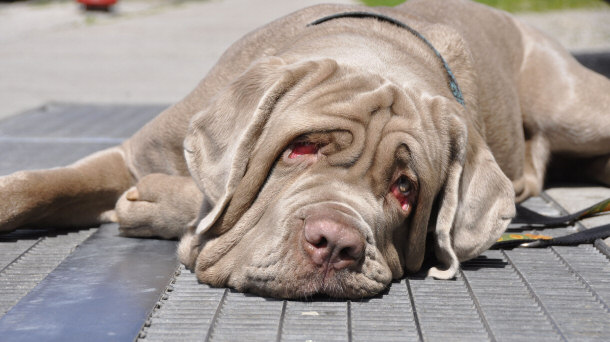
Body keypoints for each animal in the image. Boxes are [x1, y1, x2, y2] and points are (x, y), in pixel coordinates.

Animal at [0, 0, 604, 298]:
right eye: (301, 148)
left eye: (405, 188)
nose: (335, 243)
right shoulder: (132, 155)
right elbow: (38, 185)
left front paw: (156, 204)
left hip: (575, 108)